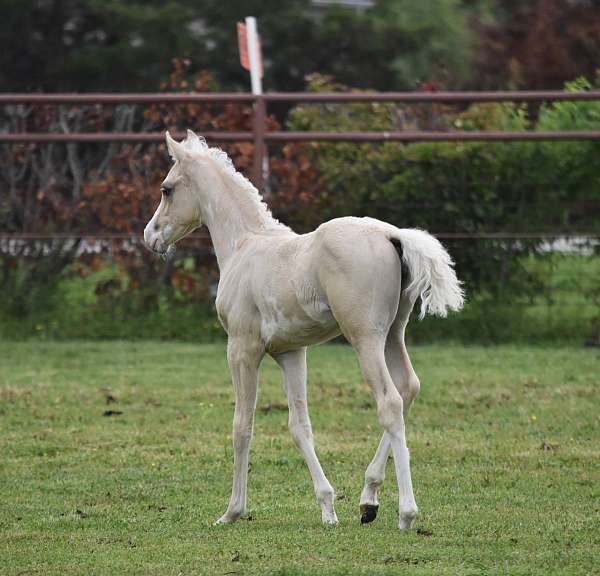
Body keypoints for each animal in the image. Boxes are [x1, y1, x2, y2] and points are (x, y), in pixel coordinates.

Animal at [145, 132, 464, 532]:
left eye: (166, 189)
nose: (150, 237)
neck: (244, 245)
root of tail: (392, 235)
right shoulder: (291, 353)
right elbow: (300, 425)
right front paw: (328, 507)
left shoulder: (242, 349)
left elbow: (242, 426)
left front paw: (232, 511)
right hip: (393, 334)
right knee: (408, 389)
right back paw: (368, 499)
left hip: (365, 338)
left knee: (390, 402)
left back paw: (406, 513)